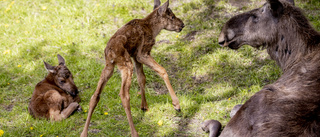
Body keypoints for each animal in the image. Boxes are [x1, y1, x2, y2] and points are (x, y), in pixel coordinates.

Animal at [80, 0, 185, 136]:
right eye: (172, 16)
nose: (182, 24)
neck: (153, 29)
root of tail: (110, 52)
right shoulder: (142, 53)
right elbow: (162, 70)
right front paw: (176, 105)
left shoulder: (135, 56)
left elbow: (142, 78)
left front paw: (144, 106)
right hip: (125, 64)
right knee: (124, 94)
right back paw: (134, 132)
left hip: (109, 66)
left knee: (95, 95)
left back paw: (84, 133)